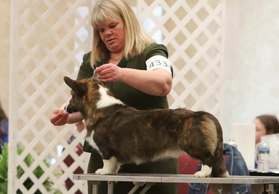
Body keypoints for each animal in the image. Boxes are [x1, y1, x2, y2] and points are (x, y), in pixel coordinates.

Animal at [64, 76, 229, 177]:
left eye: (72, 95)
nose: (65, 108)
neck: (98, 107)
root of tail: (204, 114)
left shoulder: (106, 149)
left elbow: (108, 162)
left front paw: (104, 171)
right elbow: (116, 164)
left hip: (192, 144)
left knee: (208, 158)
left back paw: (202, 173)